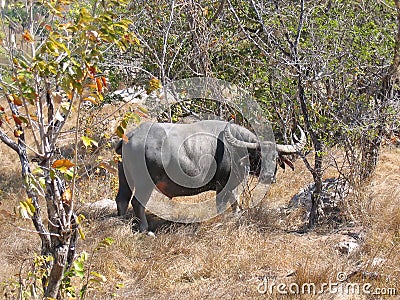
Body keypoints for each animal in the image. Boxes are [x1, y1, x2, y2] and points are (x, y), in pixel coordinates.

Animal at [115, 120, 306, 232]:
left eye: (276, 157)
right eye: (259, 156)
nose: (269, 176)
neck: (234, 150)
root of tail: (130, 136)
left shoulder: (233, 185)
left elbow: (235, 202)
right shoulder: (221, 185)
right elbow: (221, 204)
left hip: (124, 179)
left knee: (122, 199)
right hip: (144, 183)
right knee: (137, 202)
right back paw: (145, 229)